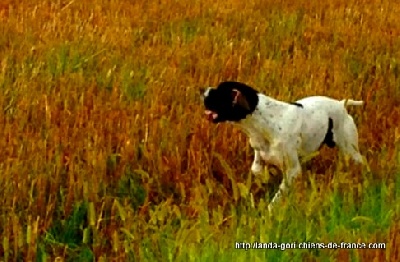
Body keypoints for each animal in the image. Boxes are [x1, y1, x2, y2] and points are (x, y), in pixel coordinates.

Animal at [202, 81, 364, 213]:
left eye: (219, 93)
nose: (201, 89)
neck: (265, 123)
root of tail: (341, 104)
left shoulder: (293, 170)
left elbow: (277, 197)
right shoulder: (260, 156)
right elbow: (257, 170)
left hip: (351, 151)